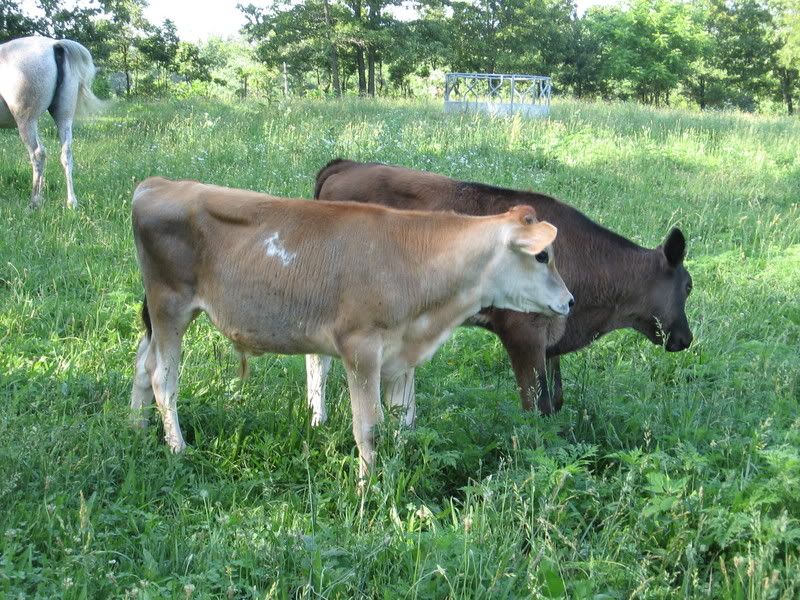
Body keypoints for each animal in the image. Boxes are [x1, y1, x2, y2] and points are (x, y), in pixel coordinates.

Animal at [130, 177, 573, 483]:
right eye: (543, 255)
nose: (569, 301)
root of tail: (156, 184)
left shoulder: (402, 356)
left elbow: (404, 422)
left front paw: (397, 471)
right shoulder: (360, 348)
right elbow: (369, 427)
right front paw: (367, 489)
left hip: (159, 315)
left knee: (141, 364)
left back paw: (136, 427)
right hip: (170, 305)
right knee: (163, 379)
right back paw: (177, 448)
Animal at [306, 159, 693, 423]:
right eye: (688, 287)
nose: (686, 339)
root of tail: (347, 164)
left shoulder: (553, 332)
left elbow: (555, 399)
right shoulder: (522, 331)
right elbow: (535, 405)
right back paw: (318, 418)